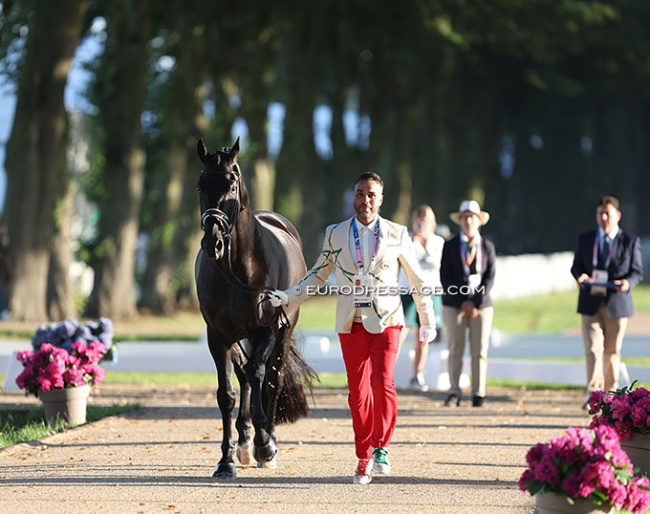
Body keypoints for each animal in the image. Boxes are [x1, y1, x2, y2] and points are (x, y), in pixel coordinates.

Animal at [192, 137, 314, 476]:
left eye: (232, 185)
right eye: (200, 185)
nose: (213, 243)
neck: (239, 266)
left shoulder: (267, 328)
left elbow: (262, 375)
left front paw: (264, 445)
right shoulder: (218, 335)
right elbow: (227, 394)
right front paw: (226, 460)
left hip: (284, 331)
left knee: (271, 378)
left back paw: (265, 442)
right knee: (245, 375)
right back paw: (246, 443)